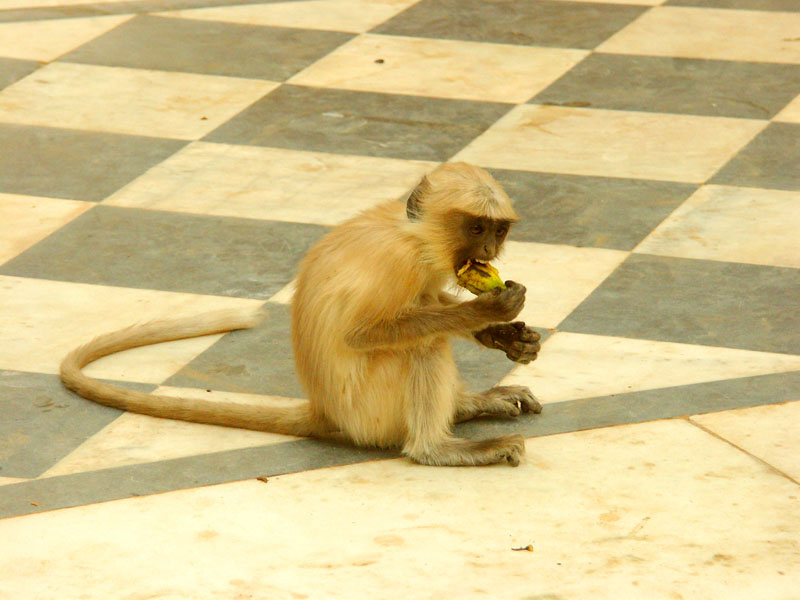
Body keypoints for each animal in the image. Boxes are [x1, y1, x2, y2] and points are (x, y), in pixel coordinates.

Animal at [60, 162, 542, 467]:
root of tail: (325, 410)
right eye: (476, 228)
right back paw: (435, 448)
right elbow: (361, 336)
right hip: (368, 410)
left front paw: (503, 334)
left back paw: (466, 405)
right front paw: (487, 310)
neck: (409, 233)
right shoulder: (399, 261)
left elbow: (430, 297)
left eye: (498, 231)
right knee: (421, 346)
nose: (488, 249)